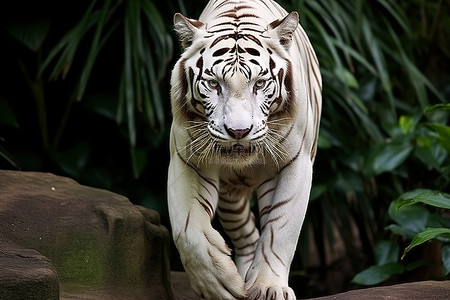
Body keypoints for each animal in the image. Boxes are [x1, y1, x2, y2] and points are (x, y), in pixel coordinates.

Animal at [168, 1, 320, 298]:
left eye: (259, 83)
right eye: (213, 84)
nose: (238, 131)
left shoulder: (295, 163)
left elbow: (280, 229)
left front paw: (269, 287)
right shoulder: (187, 159)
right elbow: (188, 229)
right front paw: (217, 283)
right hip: (230, 195)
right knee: (247, 236)